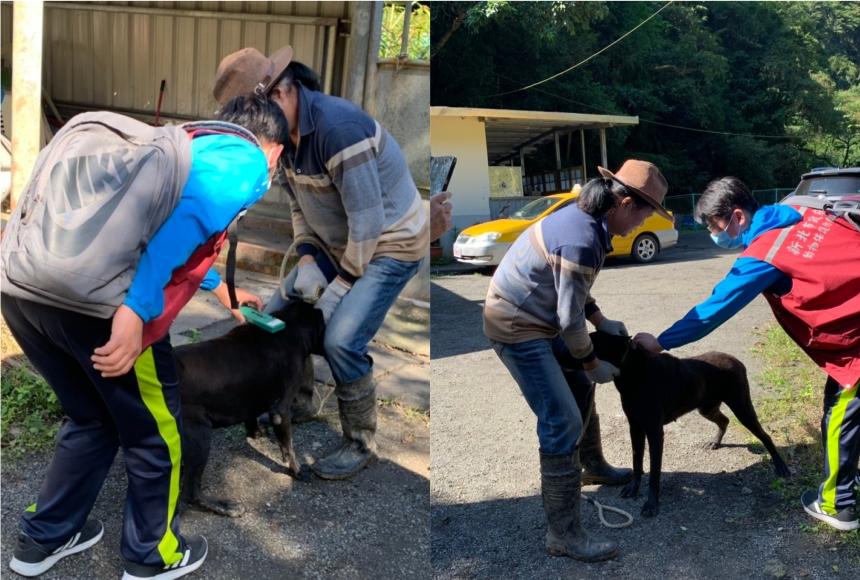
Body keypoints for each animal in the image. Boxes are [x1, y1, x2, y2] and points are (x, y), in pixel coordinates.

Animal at [175, 300, 326, 516]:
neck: (290, 325)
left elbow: (251, 415)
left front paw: (256, 433)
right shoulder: (281, 410)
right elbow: (288, 446)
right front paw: (296, 471)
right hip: (199, 436)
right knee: (191, 491)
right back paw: (224, 507)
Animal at [588, 330, 788, 516]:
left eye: (593, 342)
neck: (633, 370)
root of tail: (736, 360)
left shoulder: (654, 432)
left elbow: (654, 472)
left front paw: (651, 505)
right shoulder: (635, 427)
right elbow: (637, 461)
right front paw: (633, 488)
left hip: (741, 407)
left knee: (765, 435)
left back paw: (781, 467)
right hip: (707, 407)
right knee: (724, 420)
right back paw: (715, 442)